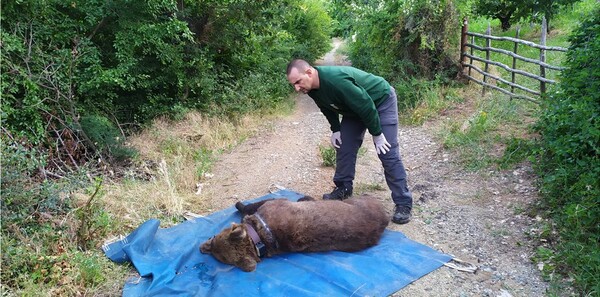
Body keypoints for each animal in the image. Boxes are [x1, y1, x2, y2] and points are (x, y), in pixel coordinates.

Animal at [200, 194, 390, 270]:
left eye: (216, 236)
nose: (206, 245)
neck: (259, 238)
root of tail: (384, 218)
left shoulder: (274, 202)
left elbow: (249, 206)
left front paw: (239, 205)